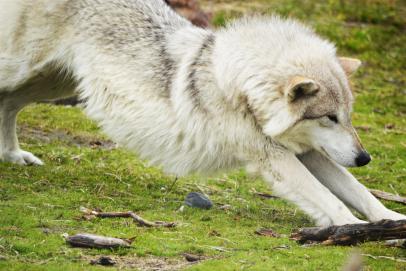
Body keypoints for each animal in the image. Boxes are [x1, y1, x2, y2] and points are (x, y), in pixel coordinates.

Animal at [0, 0, 402, 227]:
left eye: (347, 117)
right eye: (328, 118)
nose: (365, 158)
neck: (240, 84)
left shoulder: (307, 153)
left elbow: (358, 191)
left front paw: (393, 221)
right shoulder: (274, 157)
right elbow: (331, 200)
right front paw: (357, 230)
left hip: (54, 84)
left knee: (9, 104)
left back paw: (13, 156)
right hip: (26, 71)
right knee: (6, 98)